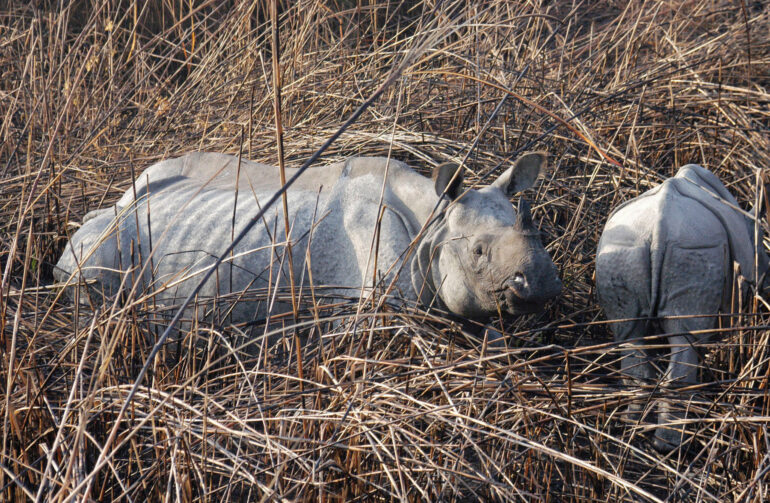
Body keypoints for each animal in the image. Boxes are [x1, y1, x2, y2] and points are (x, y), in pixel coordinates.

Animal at [596, 163, 768, 451]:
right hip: (693, 249)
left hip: (621, 249)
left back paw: (630, 427)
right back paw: (671, 445)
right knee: (684, 338)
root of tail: (659, 229)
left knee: (629, 332)